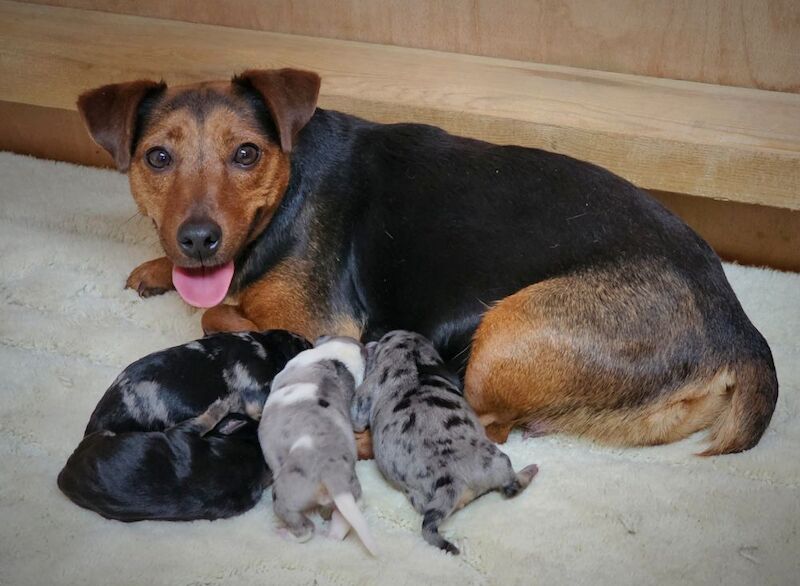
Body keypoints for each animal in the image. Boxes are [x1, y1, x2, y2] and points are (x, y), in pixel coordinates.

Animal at [59, 396, 270, 520]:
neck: (252, 451)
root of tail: (64, 478)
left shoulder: (184, 432)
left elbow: (204, 420)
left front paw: (219, 408)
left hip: (100, 436)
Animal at [260, 336, 378, 556]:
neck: (336, 358)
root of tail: (334, 475)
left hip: (284, 496)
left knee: (305, 530)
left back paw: (285, 534)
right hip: (353, 498)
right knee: (342, 522)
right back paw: (330, 536)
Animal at [354, 328, 536, 552]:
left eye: (382, 340)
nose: (369, 344)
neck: (410, 359)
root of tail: (452, 480)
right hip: (498, 461)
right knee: (513, 486)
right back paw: (530, 470)